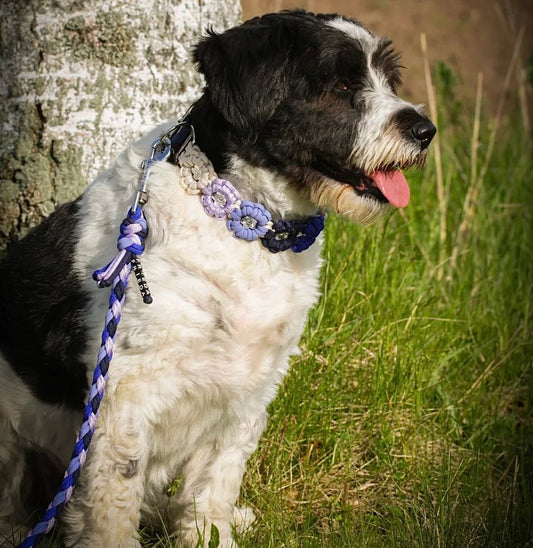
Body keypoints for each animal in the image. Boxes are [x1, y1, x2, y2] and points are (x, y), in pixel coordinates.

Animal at [0, 9, 432, 548]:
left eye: (388, 79)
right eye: (340, 84)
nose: (425, 130)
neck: (242, 224)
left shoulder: (249, 384)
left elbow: (216, 480)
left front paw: (212, 531)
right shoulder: (125, 392)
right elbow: (112, 496)